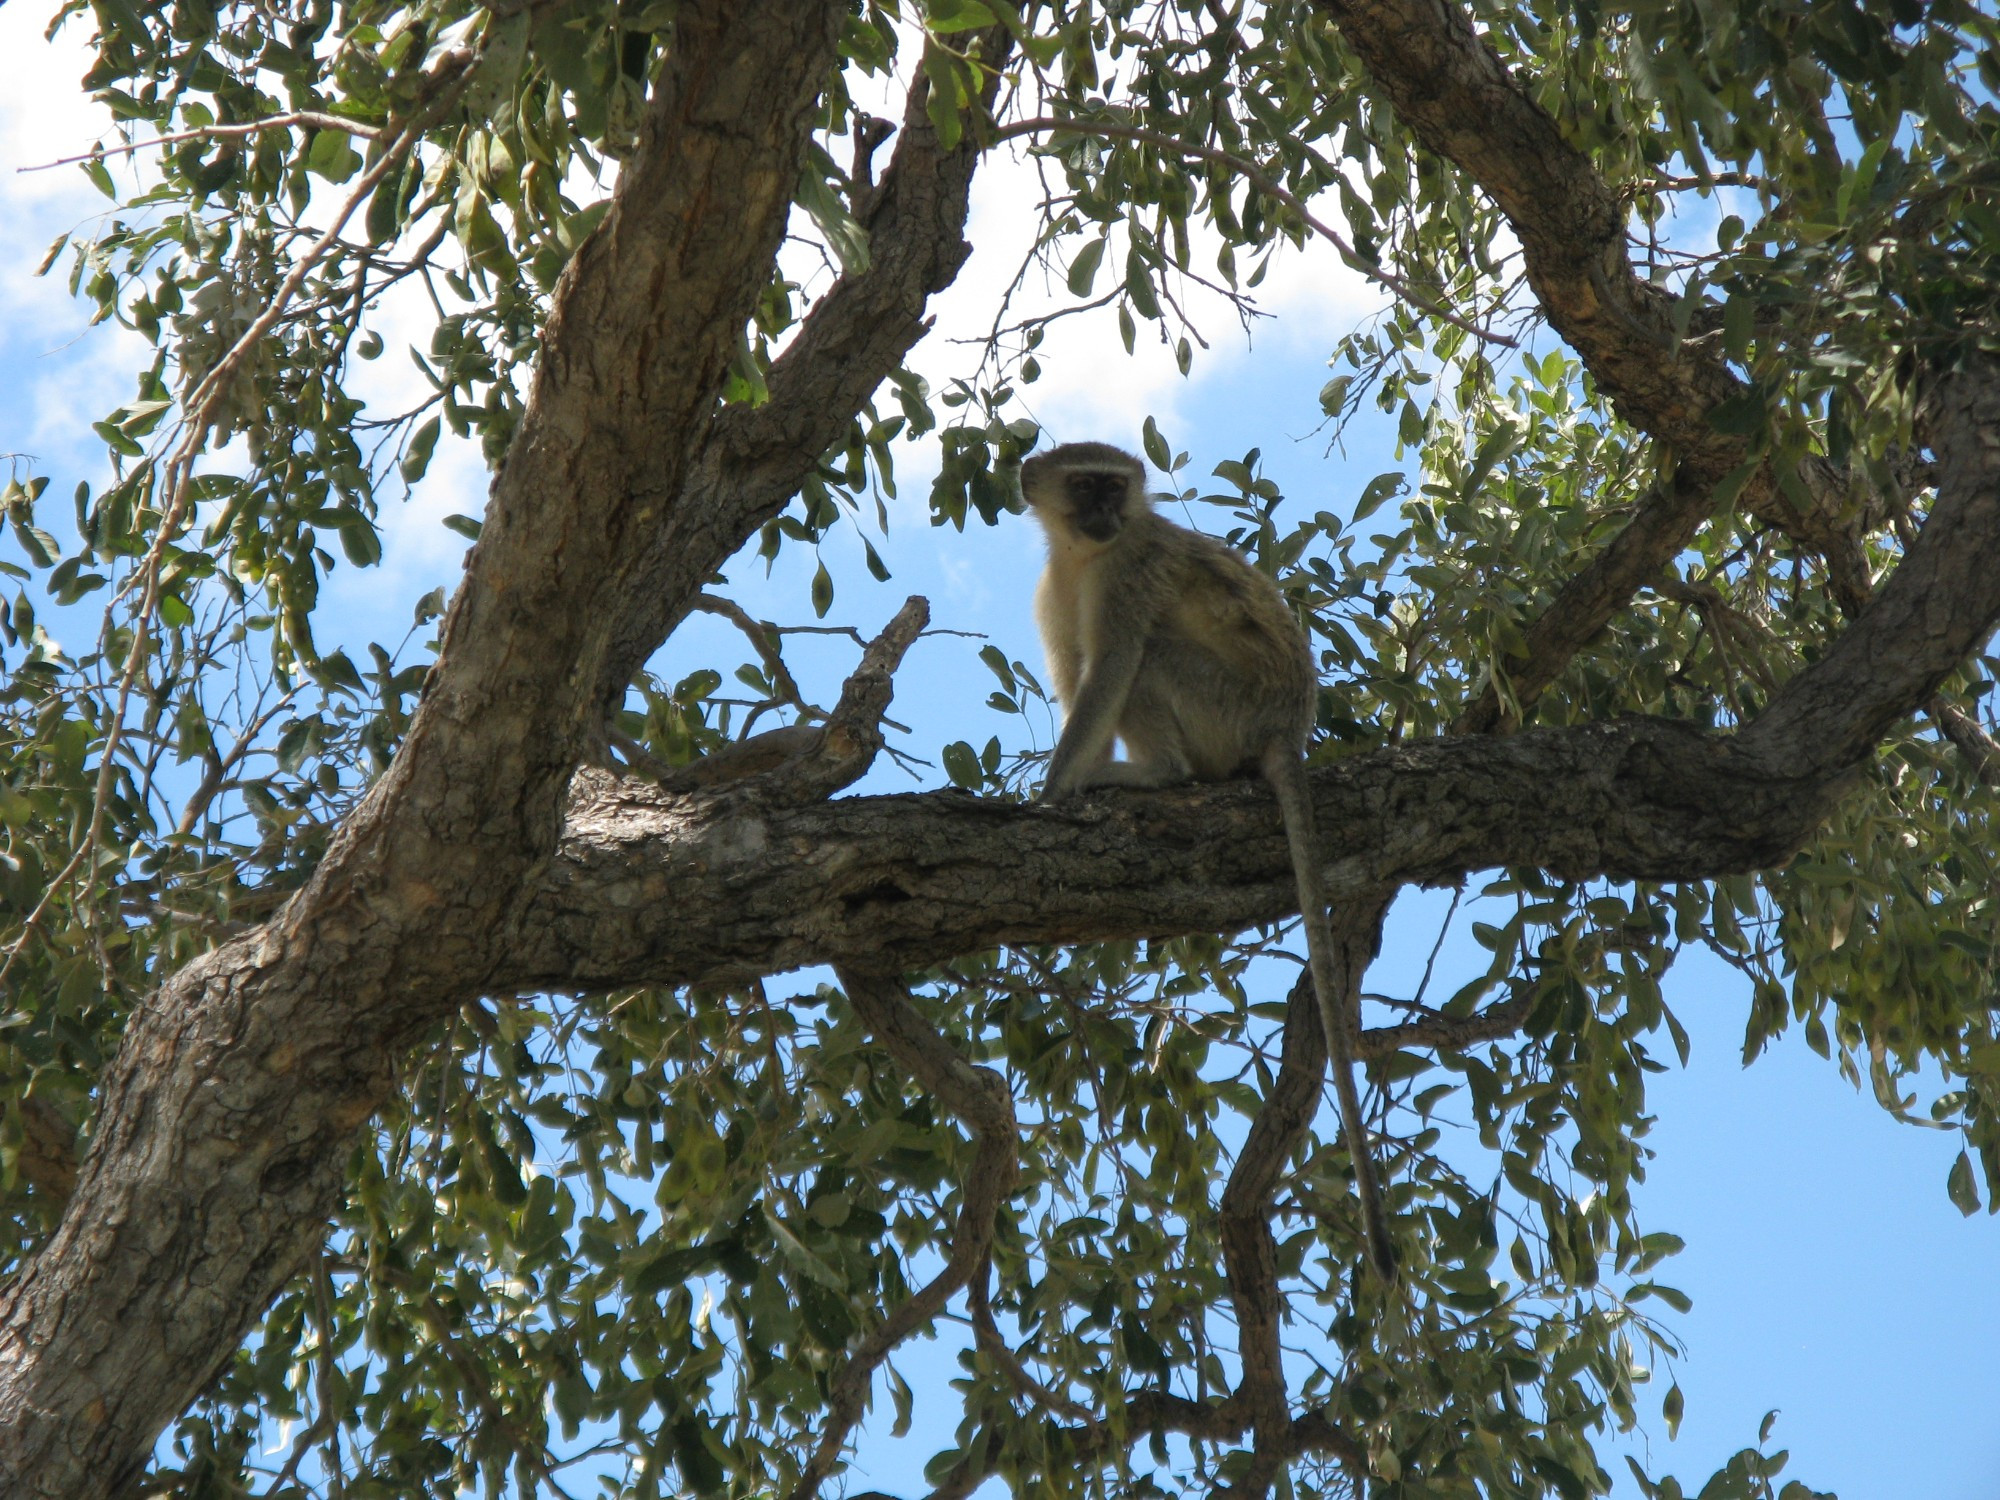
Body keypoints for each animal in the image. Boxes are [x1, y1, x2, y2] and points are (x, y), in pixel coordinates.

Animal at [1024, 440, 1400, 1288]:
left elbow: (1110, 668)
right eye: (1083, 487)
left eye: (1113, 488)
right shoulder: (1057, 587)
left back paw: (1155, 776)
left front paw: (1055, 792)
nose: (1105, 511)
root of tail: (1287, 728)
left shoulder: (1127, 575)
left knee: (1151, 652)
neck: (1083, 555)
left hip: (1226, 707)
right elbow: (1080, 680)